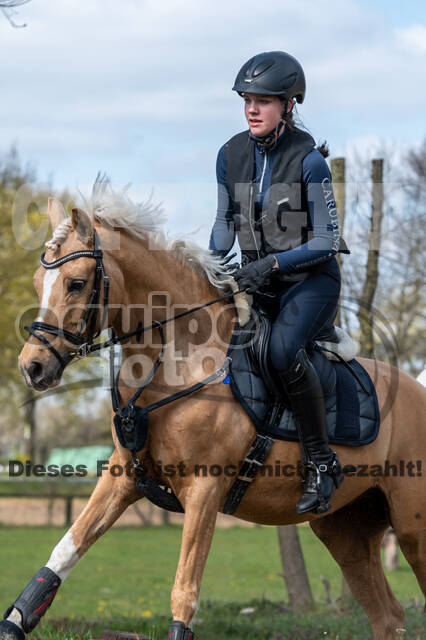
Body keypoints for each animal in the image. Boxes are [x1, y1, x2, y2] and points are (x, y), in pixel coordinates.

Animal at [1, 181, 424, 640]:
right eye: (39, 281)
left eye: (76, 283)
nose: (32, 367)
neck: (175, 360)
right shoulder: (123, 476)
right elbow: (64, 551)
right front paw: (16, 621)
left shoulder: (204, 488)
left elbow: (184, 590)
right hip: (345, 529)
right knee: (388, 616)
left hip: (412, 527)